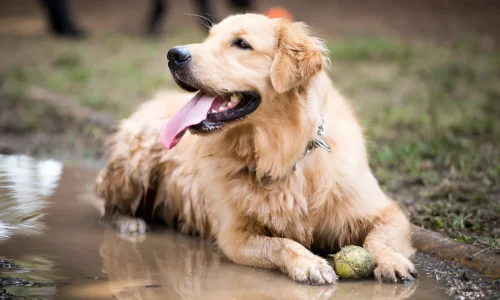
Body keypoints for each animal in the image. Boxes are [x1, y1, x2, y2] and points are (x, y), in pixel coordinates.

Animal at [94, 13, 418, 284]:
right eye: (209, 37)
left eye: (241, 44)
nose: (174, 55)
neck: (283, 154)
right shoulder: (235, 235)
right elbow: (281, 243)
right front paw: (310, 263)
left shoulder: (384, 211)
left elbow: (381, 237)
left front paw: (392, 261)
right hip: (137, 158)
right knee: (107, 204)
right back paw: (130, 223)